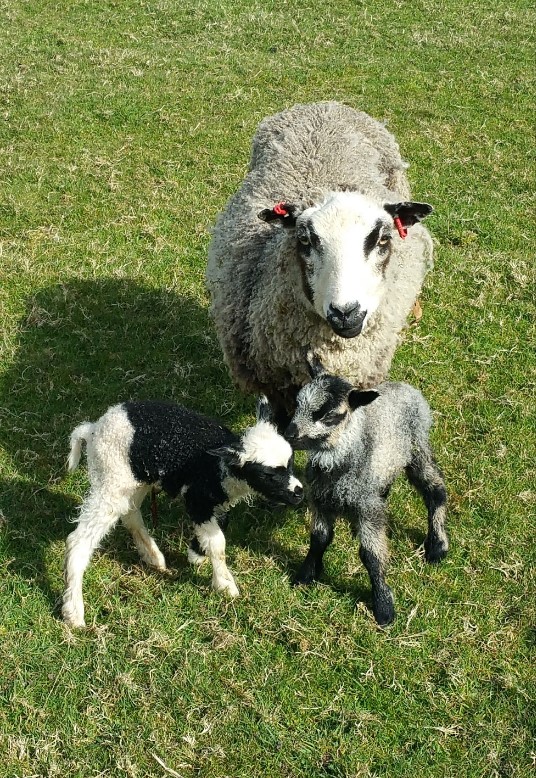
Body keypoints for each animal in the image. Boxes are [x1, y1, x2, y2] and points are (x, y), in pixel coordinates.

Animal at [62, 397, 303, 627]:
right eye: (267, 475)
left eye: (291, 463)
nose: (299, 493)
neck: (219, 466)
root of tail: (93, 429)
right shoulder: (197, 499)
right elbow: (218, 544)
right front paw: (224, 584)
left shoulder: (212, 500)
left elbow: (219, 527)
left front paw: (196, 552)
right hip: (111, 477)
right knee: (79, 540)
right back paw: (74, 612)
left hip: (134, 480)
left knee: (130, 514)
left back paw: (153, 556)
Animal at [285, 358, 448, 626]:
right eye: (297, 403)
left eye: (329, 415)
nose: (289, 434)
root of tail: (407, 388)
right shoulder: (320, 500)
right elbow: (319, 538)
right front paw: (306, 575)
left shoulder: (366, 507)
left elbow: (371, 555)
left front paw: (383, 607)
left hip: (417, 447)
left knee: (435, 490)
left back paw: (437, 546)